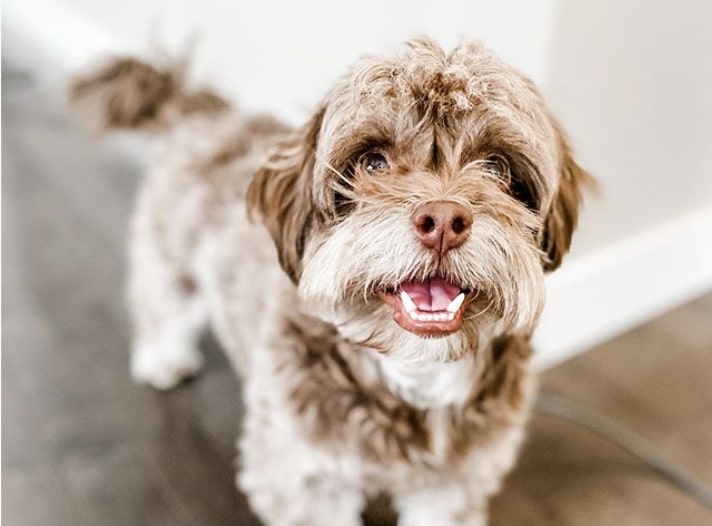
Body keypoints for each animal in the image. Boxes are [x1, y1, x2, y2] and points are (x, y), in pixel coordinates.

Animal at [70, 38, 591, 526]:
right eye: (373, 161)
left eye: (498, 167)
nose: (443, 219)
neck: (409, 372)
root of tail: (204, 113)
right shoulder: (302, 476)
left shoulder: (453, 485)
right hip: (169, 253)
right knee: (160, 302)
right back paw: (162, 358)